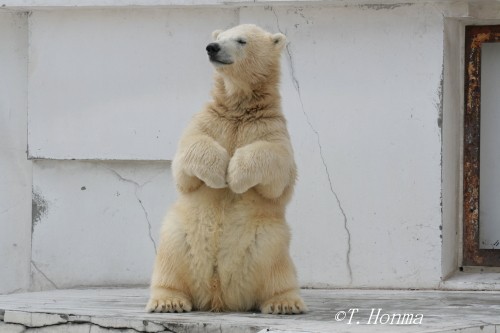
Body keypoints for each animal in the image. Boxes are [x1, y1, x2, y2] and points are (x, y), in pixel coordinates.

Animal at [146, 24, 306, 314]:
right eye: (219, 37)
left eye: (241, 40)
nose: (212, 47)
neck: (239, 109)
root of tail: (219, 296)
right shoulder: (210, 119)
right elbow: (186, 158)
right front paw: (219, 172)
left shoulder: (271, 127)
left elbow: (277, 167)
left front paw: (235, 175)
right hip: (181, 233)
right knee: (171, 255)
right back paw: (168, 300)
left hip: (268, 239)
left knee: (277, 266)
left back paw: (284, 302)